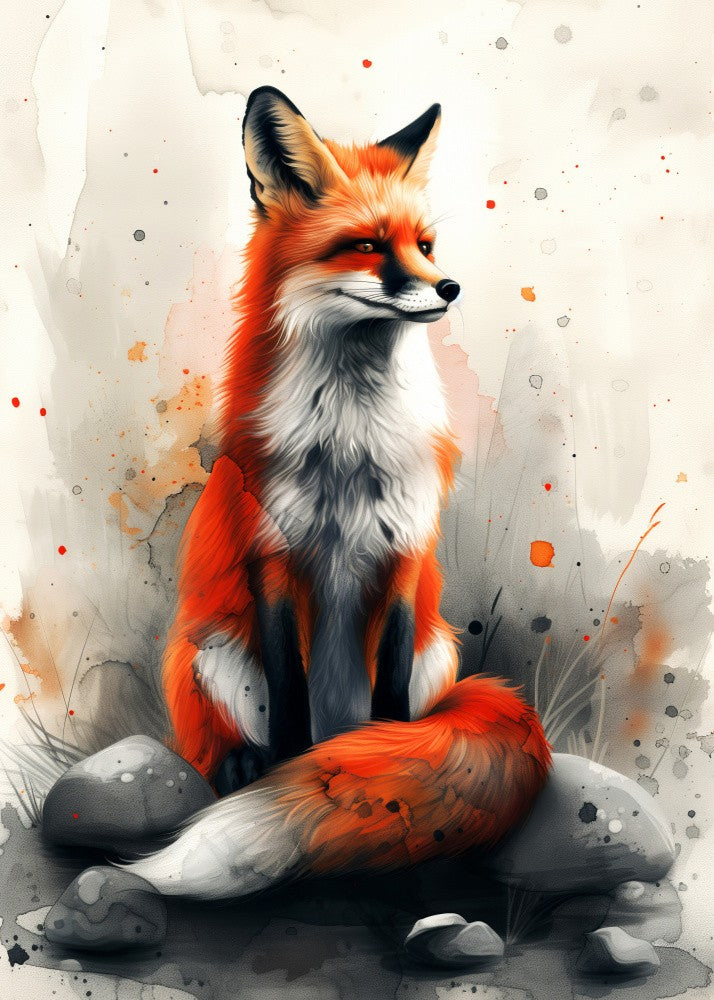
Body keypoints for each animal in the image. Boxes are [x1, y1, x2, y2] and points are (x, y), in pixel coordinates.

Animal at [125, 88, 551, 900]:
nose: (449, 288)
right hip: (208, 646)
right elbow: (290, 700)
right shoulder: (272, 557)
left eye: (425, 246)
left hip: (439, 650)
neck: (350, 443)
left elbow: (390, 707)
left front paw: (384, 762)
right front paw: (294, 771)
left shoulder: (404, 553)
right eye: (367, 245)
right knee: (223, 744)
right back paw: (247, 765)